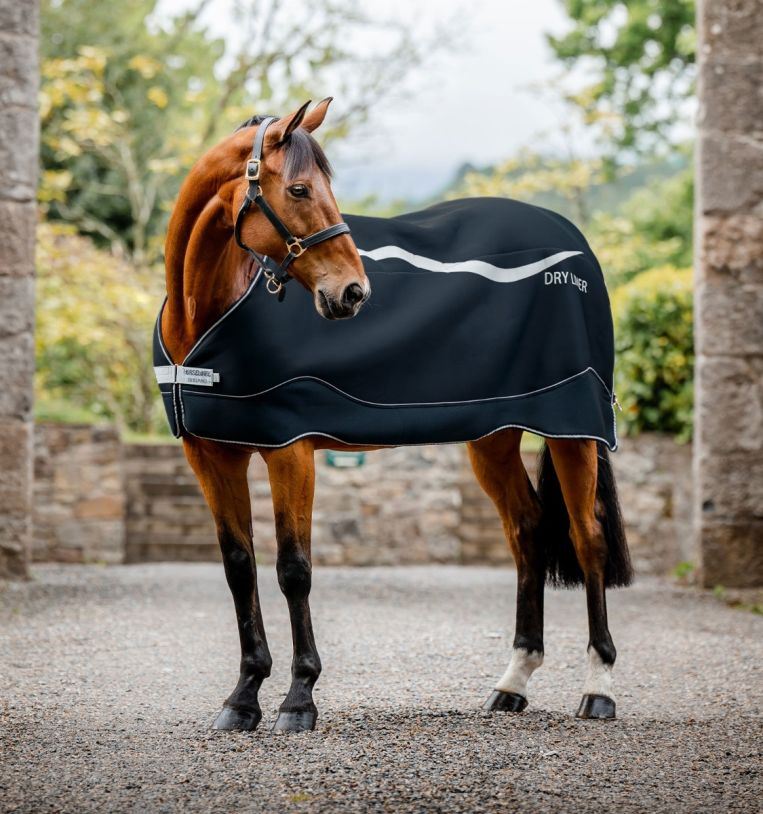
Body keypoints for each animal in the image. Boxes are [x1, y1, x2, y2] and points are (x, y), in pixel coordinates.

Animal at [160, 98, 632, 733]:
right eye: (300, 189)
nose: (353, 293)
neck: (206, 313)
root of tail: (571, 240)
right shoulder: (211, 455)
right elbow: (240, 567)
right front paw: (242, 698)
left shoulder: (290, 449)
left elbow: (293, 569)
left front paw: (299, 699)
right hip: (494, 437)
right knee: (527, 531)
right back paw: (512, 683)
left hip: (571, 429)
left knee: (588, 540)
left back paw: (598, 688)